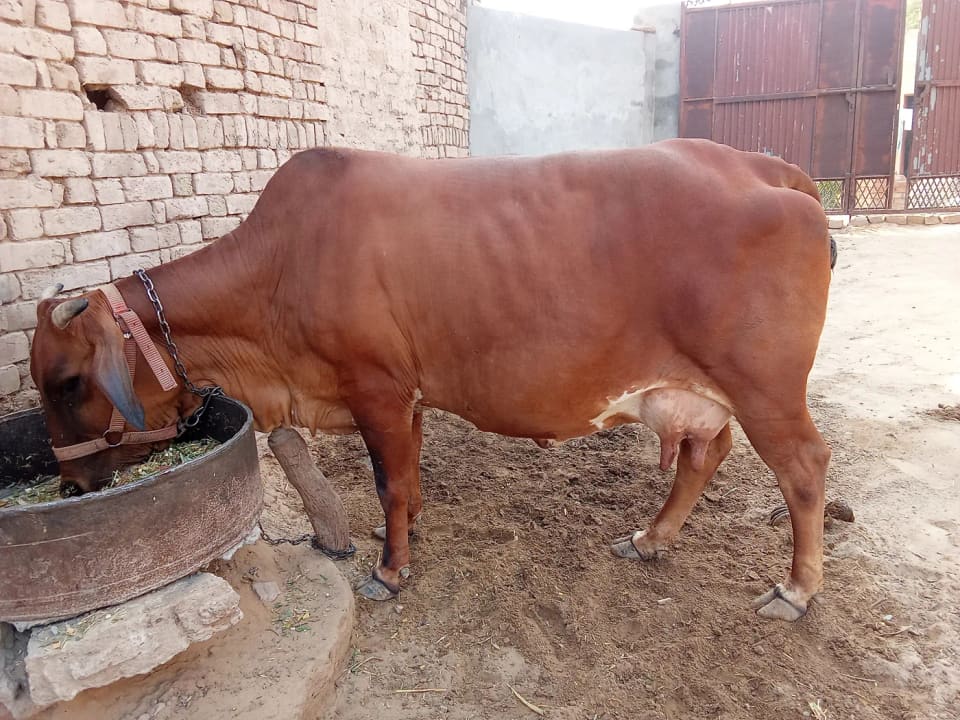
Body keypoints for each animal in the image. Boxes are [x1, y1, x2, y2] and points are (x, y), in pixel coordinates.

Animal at [30, 139, 834, 622]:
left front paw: (390, 571)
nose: (68, 484)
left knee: (801, 470)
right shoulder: (405, 394)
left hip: (765, 389)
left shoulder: (375, 388)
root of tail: (762, 165)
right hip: (706, 392)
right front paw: (411, 536)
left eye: (67, 381)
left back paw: (796, 589)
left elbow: (388, 482)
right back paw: (651, 538)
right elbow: (409, 477)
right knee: (706, 454)